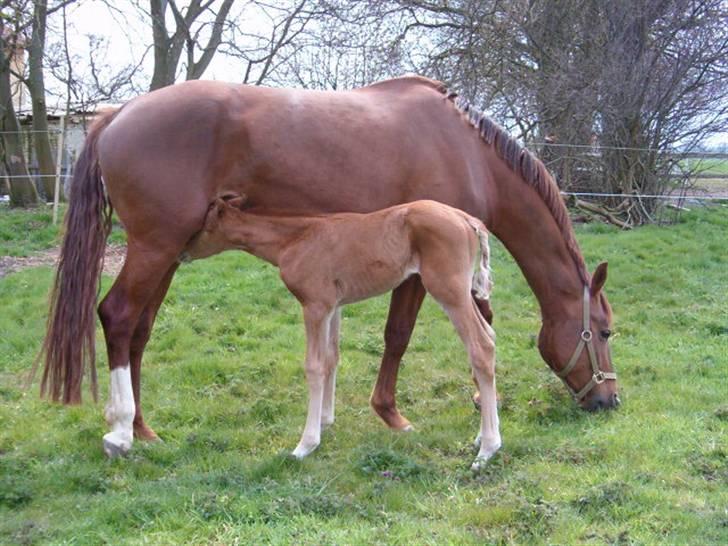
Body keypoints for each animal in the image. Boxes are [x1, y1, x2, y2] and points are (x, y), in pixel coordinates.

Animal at [185, 193, 498, 466]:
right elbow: (331, 359)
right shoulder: (334, 306)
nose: (184, 253)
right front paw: (325, 421)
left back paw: (487, 449)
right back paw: (481, 435)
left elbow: (313, 366)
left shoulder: (314, 306)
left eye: (204, 225)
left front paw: (306, 444)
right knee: (490, 337)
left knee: (481, 346)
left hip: (447, 289)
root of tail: (466, 219)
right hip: (461, 291)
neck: (295, 239)